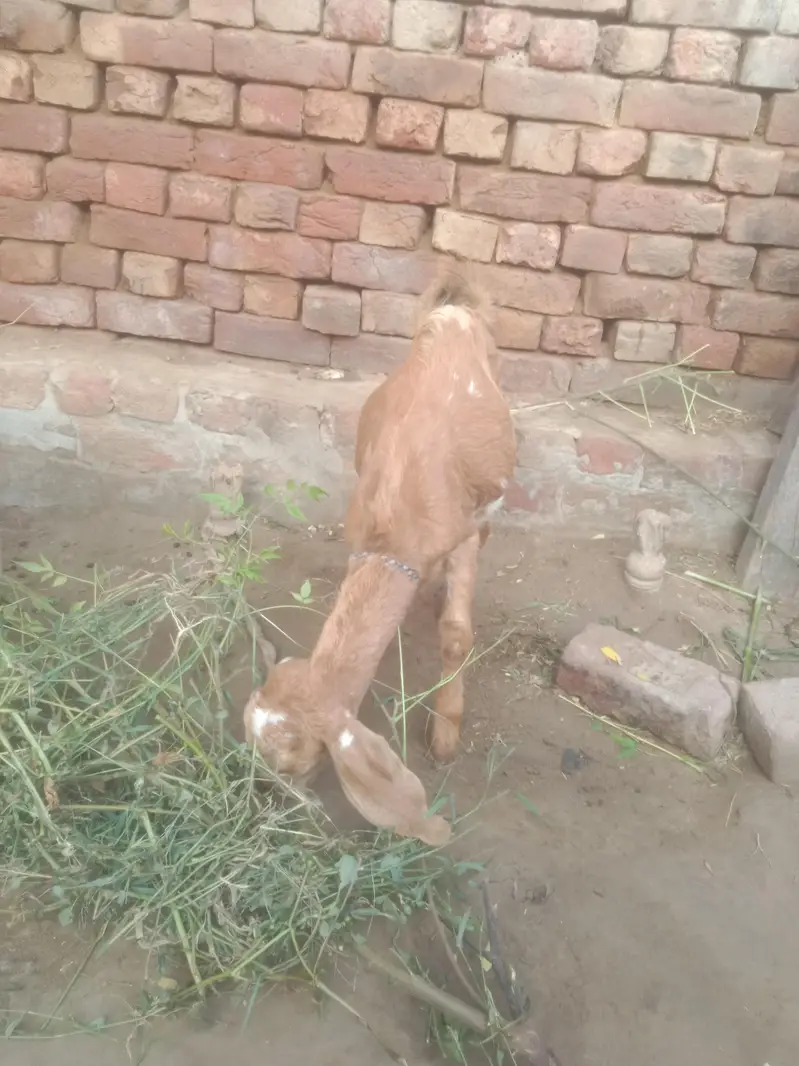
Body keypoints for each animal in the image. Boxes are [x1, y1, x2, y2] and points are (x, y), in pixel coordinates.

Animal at [244, 265, 516, 846]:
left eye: (294, 762)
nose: (266, 802)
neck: (397, 528)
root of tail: (451, 311)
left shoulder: (460, 536)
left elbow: (456, 634)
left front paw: (445, 731)